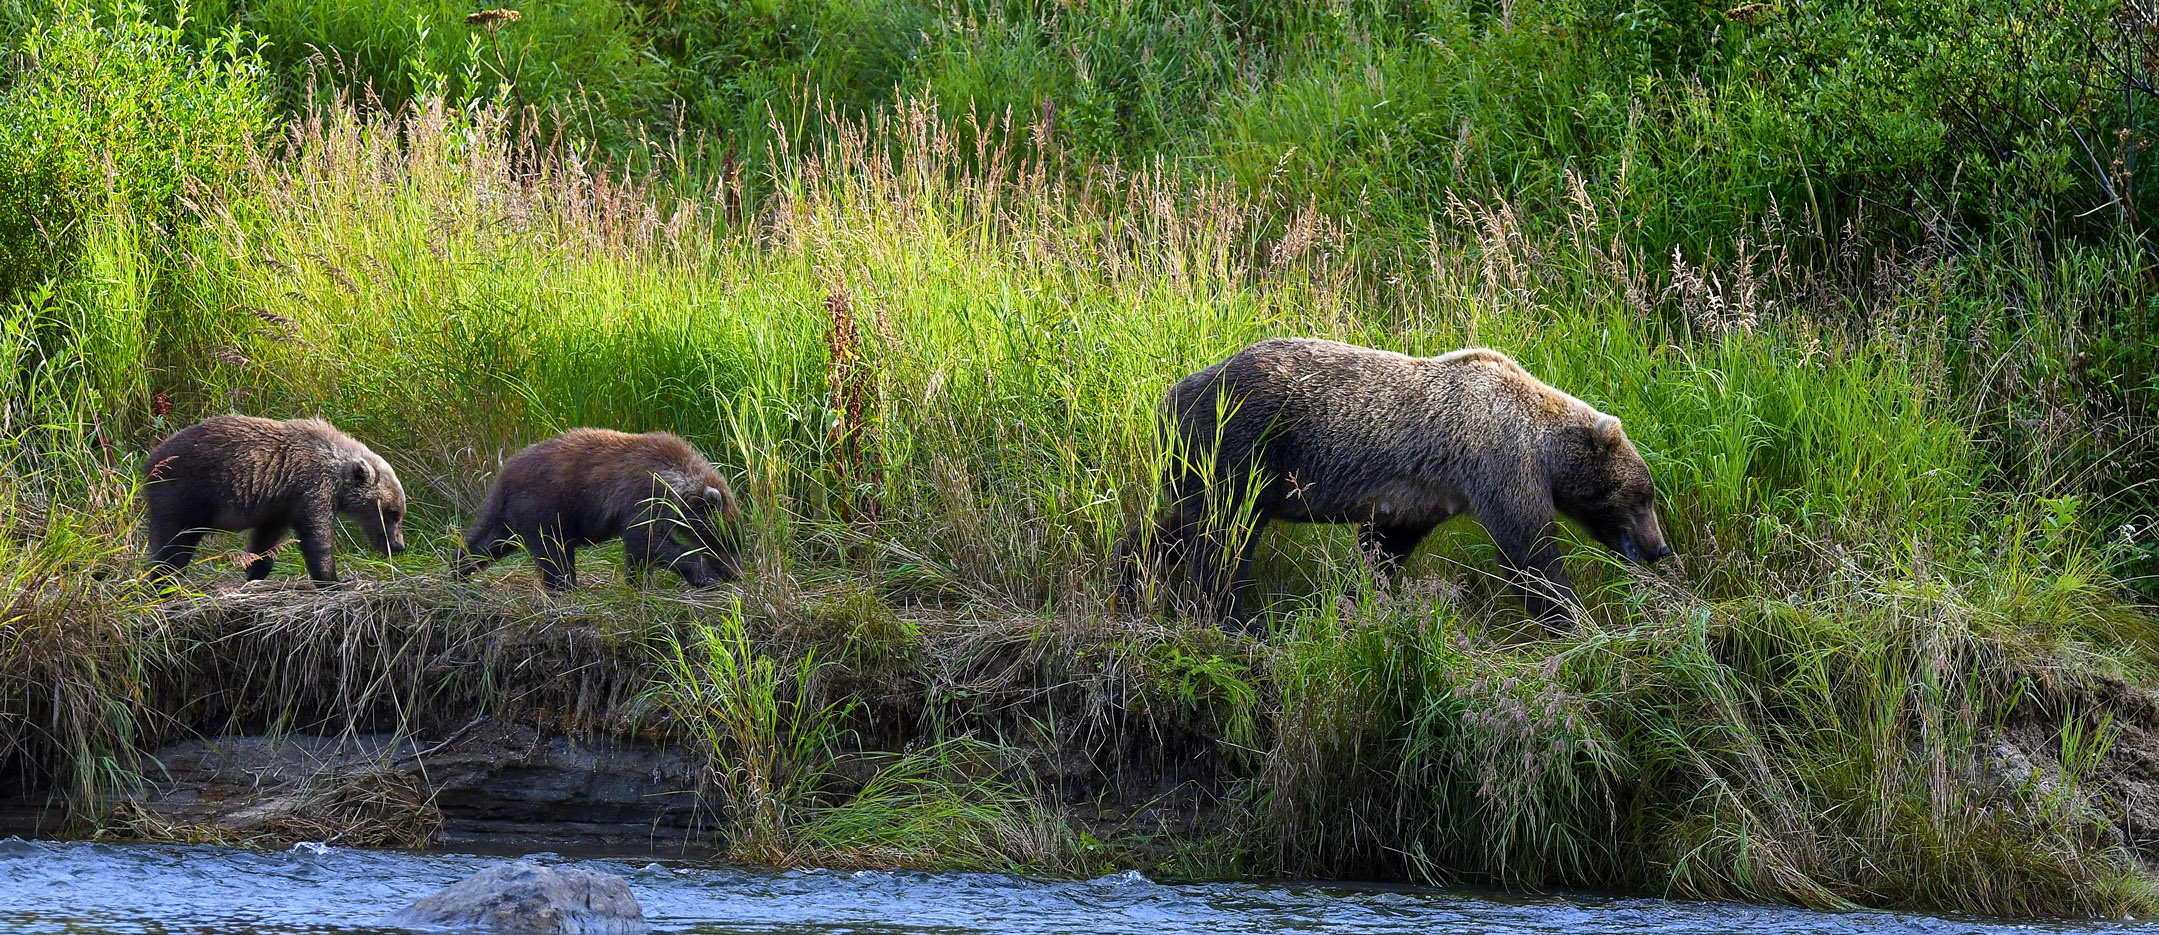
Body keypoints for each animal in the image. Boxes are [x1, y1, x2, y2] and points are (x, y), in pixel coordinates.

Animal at [146, 414, 412, 583]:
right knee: (173, 547)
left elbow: (266, 541)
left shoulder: (279, 506)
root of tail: (150, 460)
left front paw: (255, 572)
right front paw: (332, 578)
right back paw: (164, 582)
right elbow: (317, 536)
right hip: (185, 494)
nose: (398, 546)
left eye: (399, 513)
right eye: (392, 513)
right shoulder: (311, 488)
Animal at [453, 425, 742, 587]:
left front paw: (636, 582)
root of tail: (504, 475)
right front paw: (707, 576)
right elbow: (649, 541)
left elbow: (640, 551)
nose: (735, 572)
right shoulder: (646, 495)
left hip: (512, 513)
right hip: (545, 505)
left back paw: (460, 570)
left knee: (489, 541)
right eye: (726, 539)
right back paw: (565, 586)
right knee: (554, 552)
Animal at [1122, 334, 1675, 626]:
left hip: (1201, 461)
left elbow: (1385, 546)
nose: (1659, 547)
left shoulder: (1425, 498)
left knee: (1178, 526)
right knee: (1225, 535)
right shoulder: (1499, 461)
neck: (1544, 445)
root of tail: (1171, 395)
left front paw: (1359, 597)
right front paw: (1577, 619)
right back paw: (1231, 616)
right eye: (1643, 496)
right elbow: (1527, 552)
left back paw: (1129, 576)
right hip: (1242, 444)